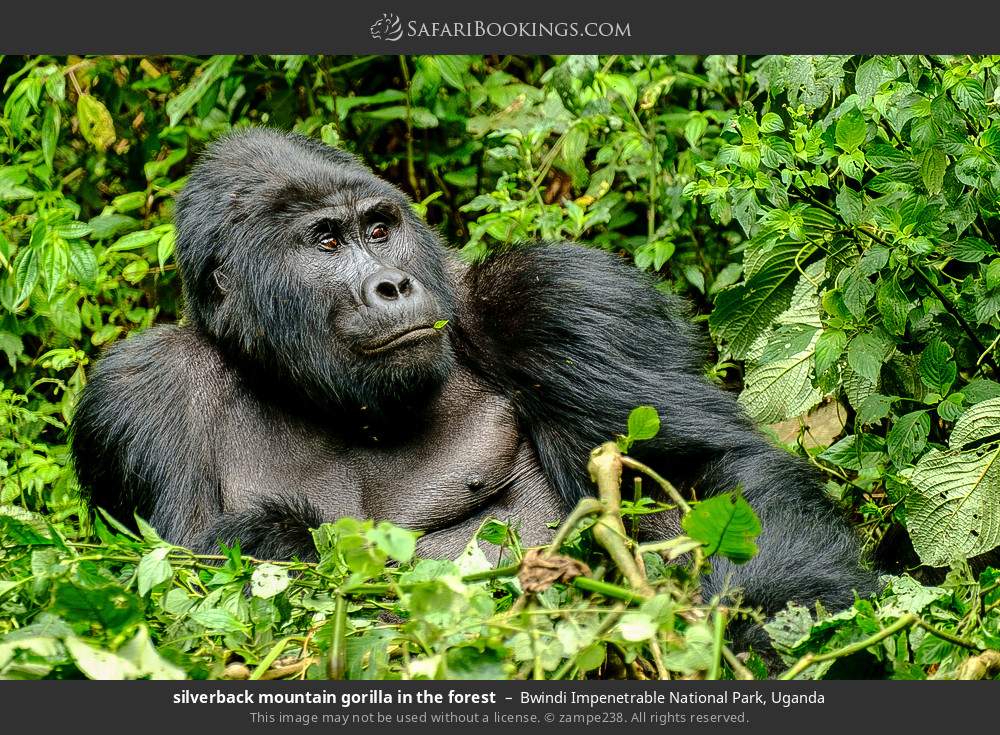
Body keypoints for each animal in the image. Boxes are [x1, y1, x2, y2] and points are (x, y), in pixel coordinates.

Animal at [72, 129, 876, 640]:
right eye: (326, 241)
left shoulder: (555, 295)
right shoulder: (134, 395)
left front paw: (777, 625)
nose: (392, 284)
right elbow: (176, 589)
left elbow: (693, 479)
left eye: (379, 228)